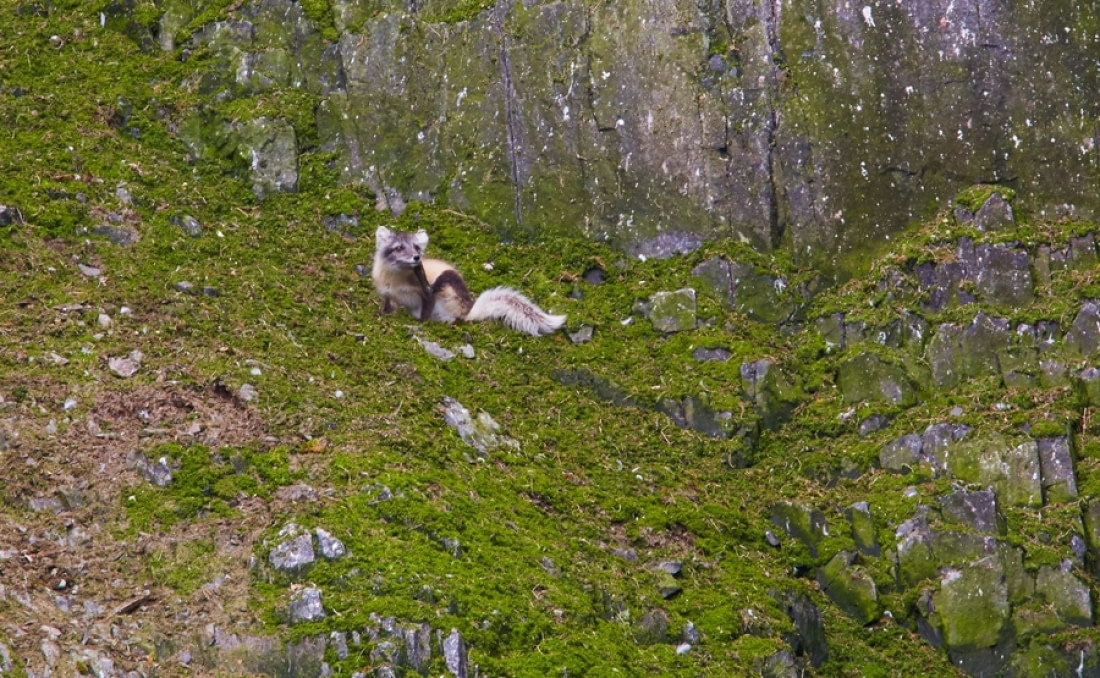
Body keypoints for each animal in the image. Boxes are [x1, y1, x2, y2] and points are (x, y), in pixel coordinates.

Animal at [371, 226, 567, 334]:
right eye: (398, 248)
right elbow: (389, 308)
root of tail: (470, 310)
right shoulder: (388, 295)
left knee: (455, 318)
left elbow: (425, 312)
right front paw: (385, 315)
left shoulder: (426, 293)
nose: (416, 257)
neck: (396, 282)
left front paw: (420, 323)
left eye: (417, 247)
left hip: (447, 284)